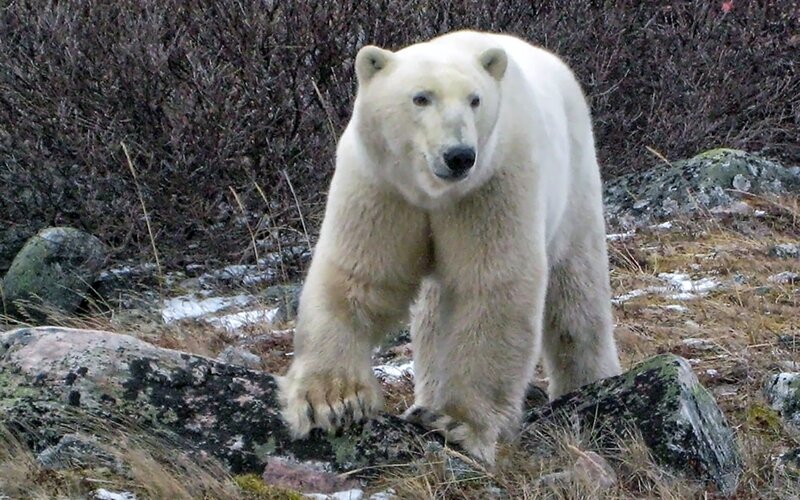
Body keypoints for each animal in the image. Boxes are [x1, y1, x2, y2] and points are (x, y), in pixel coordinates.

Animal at [278, 30, 622, 464]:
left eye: (475, 99)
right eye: (420, 97)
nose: (459, 156)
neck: (433, 193)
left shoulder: (491, 186)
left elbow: (490, 286)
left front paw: (458, 423)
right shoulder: (380, 185)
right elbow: (360, 276)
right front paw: (331, 402)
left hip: (575, 178)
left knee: (577, 294)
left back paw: (589, 383)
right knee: (431, 314)